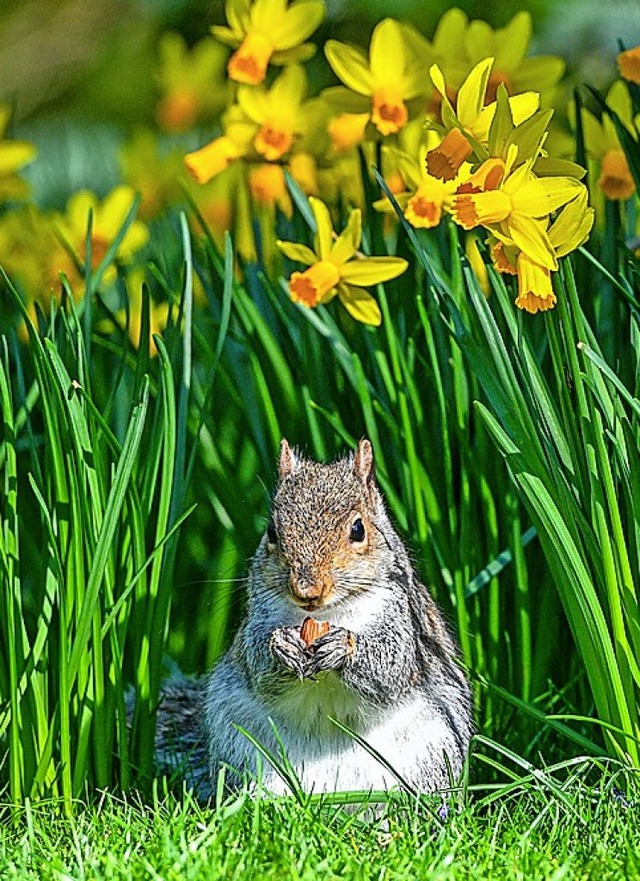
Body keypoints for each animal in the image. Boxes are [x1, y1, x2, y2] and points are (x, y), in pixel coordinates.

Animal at [154, 440, 472, 796]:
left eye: (358, 529)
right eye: (272, 532)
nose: (307, 590)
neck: (325, 615)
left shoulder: (404, 620)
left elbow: (390, 664)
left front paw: (343, 647)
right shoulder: (257, 619)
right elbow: (257, 662)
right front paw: (281, 646)